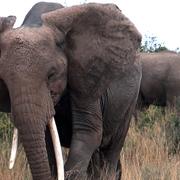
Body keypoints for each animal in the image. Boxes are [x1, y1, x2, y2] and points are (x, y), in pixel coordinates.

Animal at [0, 1, 141, 180]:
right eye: (4, 81)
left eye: (51, 75)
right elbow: (48, 143)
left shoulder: (86, 76)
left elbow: (88, 132)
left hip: (130, 100)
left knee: (111, 149)